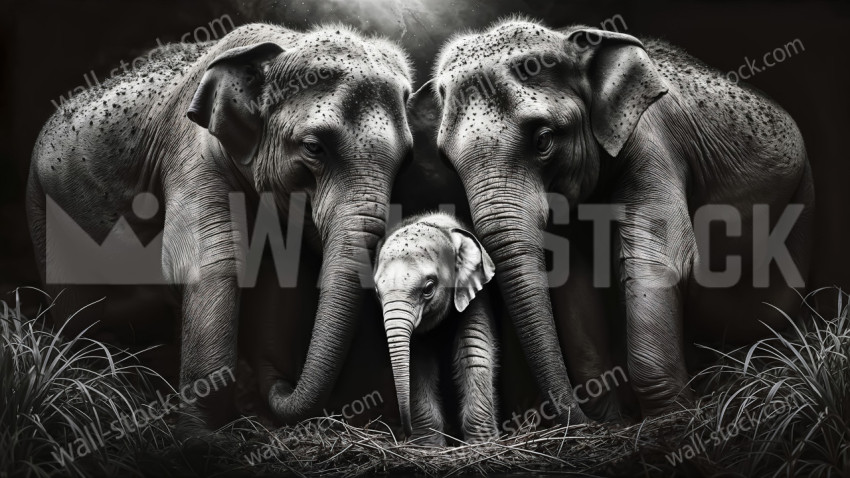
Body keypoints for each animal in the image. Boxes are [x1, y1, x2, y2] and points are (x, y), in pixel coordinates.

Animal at [26, 23, 415, 433]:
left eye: (406, 160)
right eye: (313, 147)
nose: (282, 385)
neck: (280, 46)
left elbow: (279, 276)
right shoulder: (191, 155)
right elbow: (209, 263)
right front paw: (203, 435)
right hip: (43, 203)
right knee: (74, 304)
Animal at [374, 211, 499, 444]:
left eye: (429, 288)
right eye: (377, 292)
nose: (406, 431)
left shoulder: (475, 296)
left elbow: (473, 352)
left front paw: (483, 446)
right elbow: (418, 364)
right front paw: (428, 447)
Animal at [415, 19, 813, 422]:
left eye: (543, 140)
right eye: (448, 162)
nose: (579, 422)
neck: (570, 39)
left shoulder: (653, 144)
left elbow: (661, 262)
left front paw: (671, 421)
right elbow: (575, 285)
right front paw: (615, 420)